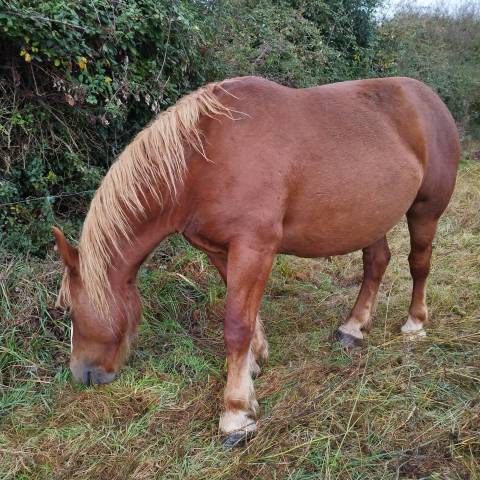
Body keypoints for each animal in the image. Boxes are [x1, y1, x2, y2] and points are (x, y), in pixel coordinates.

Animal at [53, 75, 462, 446]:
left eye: (69, 309)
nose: (81, 373)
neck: (201, 159)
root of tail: (430, 99)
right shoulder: (221, 250)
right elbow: (247, 317)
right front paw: (252, 365)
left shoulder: (254, 247)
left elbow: (236, 324)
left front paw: (235, 414)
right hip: (371, 216)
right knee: (376, 262)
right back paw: (353, 327)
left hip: (425, 212)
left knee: (419, 263)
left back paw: (414, 324)